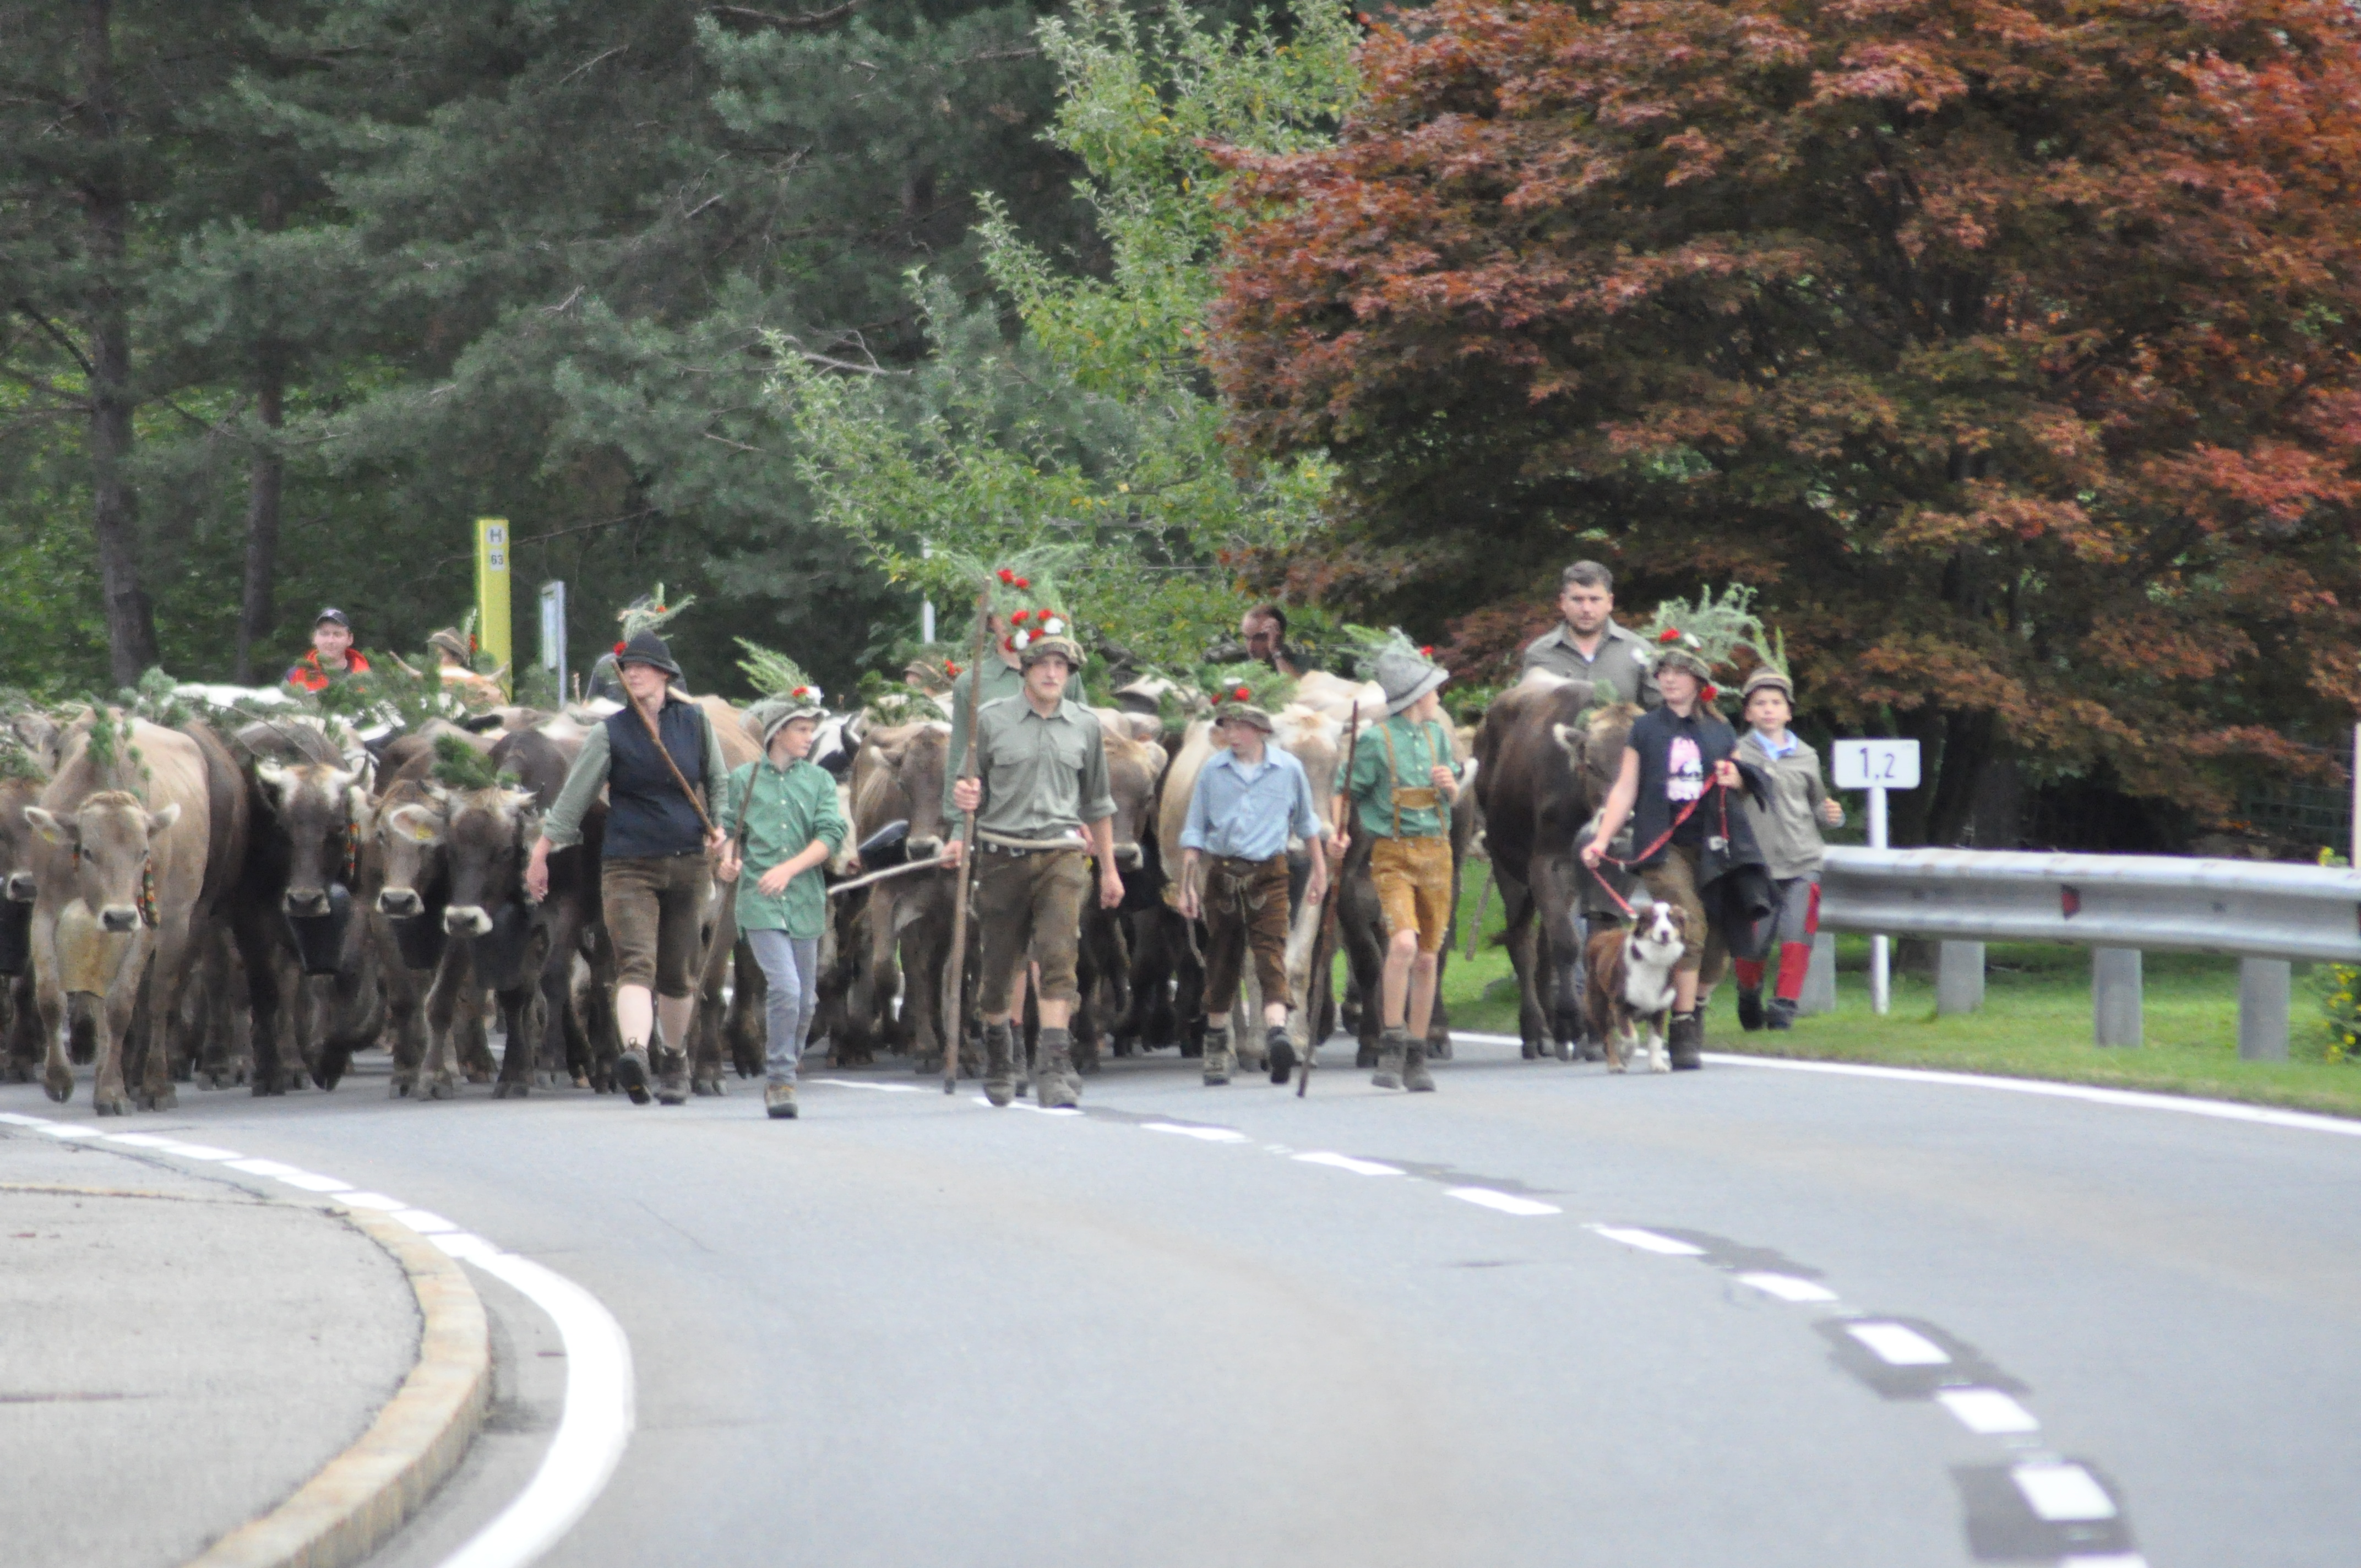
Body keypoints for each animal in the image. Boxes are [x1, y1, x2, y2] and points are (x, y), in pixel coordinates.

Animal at [22, 714, 224, 1114]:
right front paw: (58, 1080)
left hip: (177, 923)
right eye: (87, 850)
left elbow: (122, 1005)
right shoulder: (46, 909)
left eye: (144, 851)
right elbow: (52, 997)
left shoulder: (145, 923)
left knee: (160, 999)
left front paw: (113, 1092)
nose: (119, 917)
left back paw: (156, 1085)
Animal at [1472, 673, 1639, 1060]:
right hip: (1506, 861)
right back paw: (1537, 1031)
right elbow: (1567, 943)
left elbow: (1592, 943)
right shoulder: (1545, 861)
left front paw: (1596, 1036)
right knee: (1522, 941)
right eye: (1592, 765)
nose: (1623, 820)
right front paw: (1569, 1023)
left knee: (1543, 940)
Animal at [1582, 901, 1689, 1074]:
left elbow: (1656, 1041)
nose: (1665, 933)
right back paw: (1615, 1064)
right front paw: (1624, 1055)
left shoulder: (1660, 1010)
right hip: (1598, 1003)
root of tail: (1601, 935)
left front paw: (1658, 1064)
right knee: (1607, 1036)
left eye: (1672, 919)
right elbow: (1631, 1037)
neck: (1653, 962)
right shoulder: (1620, 1006)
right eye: (1653, 919)